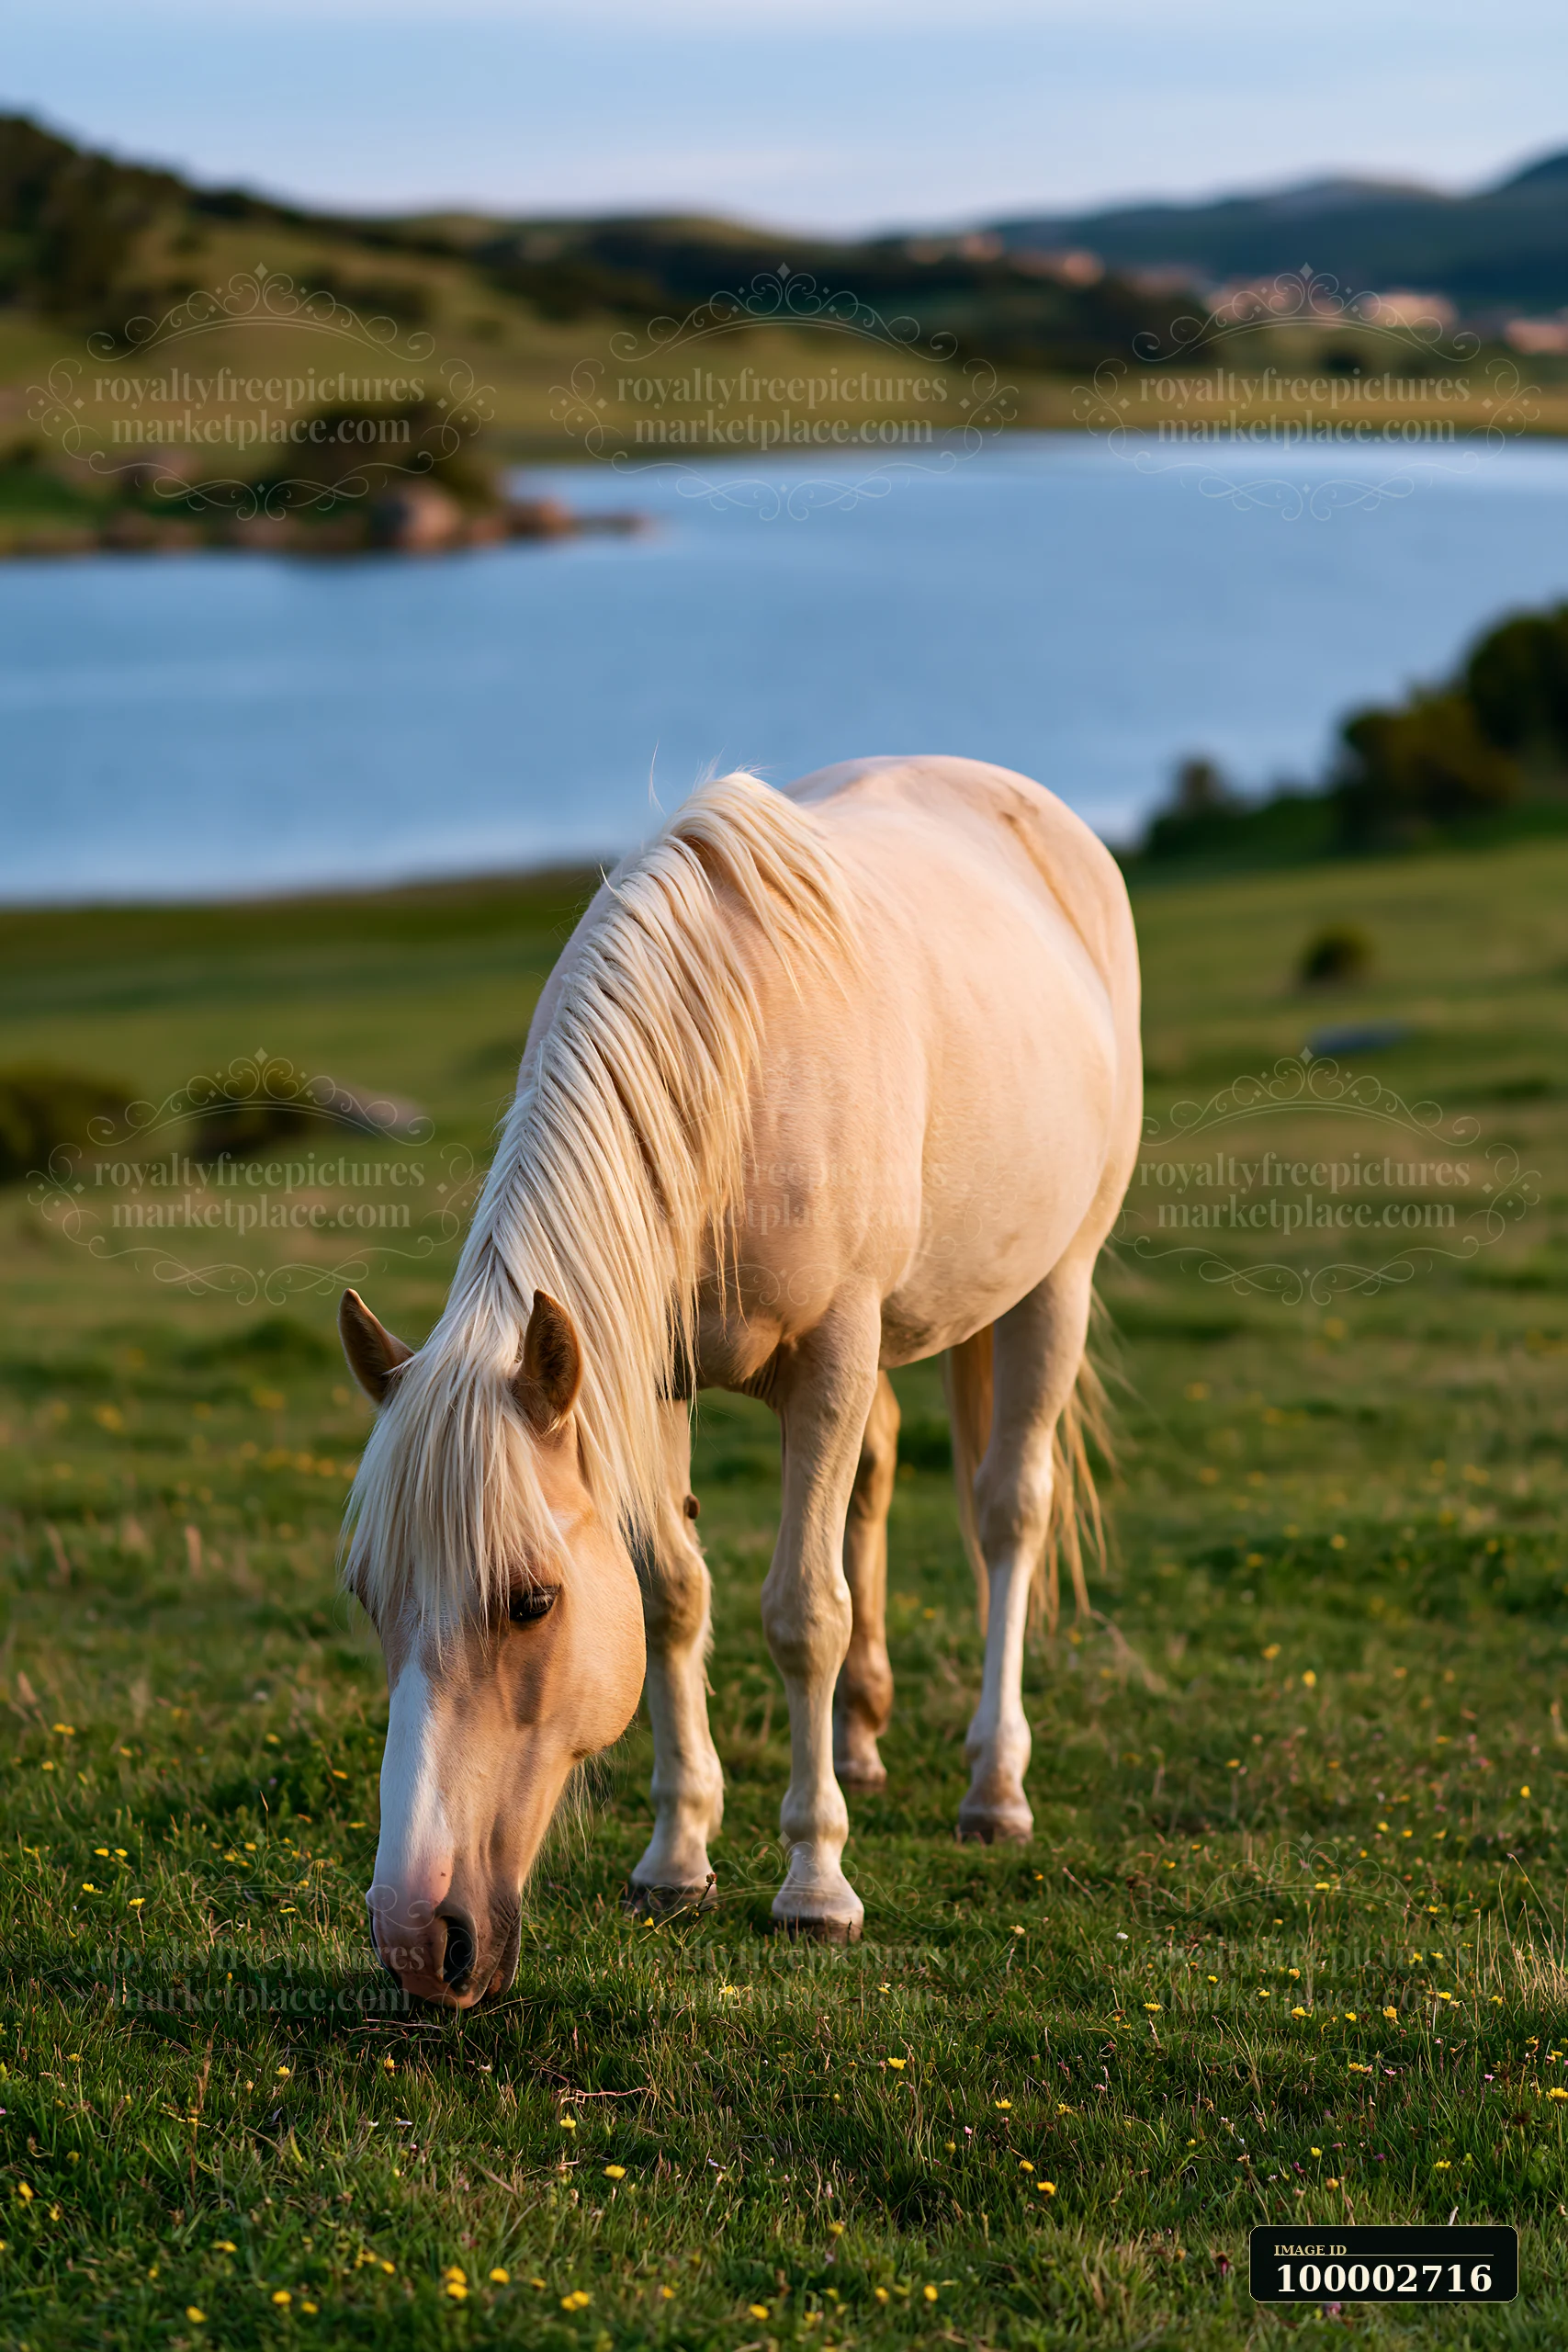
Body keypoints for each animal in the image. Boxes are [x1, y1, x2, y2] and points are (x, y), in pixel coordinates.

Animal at [339, 755, 1141, 2005]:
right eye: (371, 1598)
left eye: (531, 1601)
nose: (419, 1940)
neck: (733, 1065)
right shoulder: (654, 1373)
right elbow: (675, 1594)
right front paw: (676, 1858)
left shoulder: (834, 1353)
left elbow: (803, 1610)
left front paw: (816, 1883)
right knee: (879, 1476)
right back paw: (861, 1735)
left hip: (1055, 1280)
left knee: (1008, 1512)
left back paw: (993, 1786)